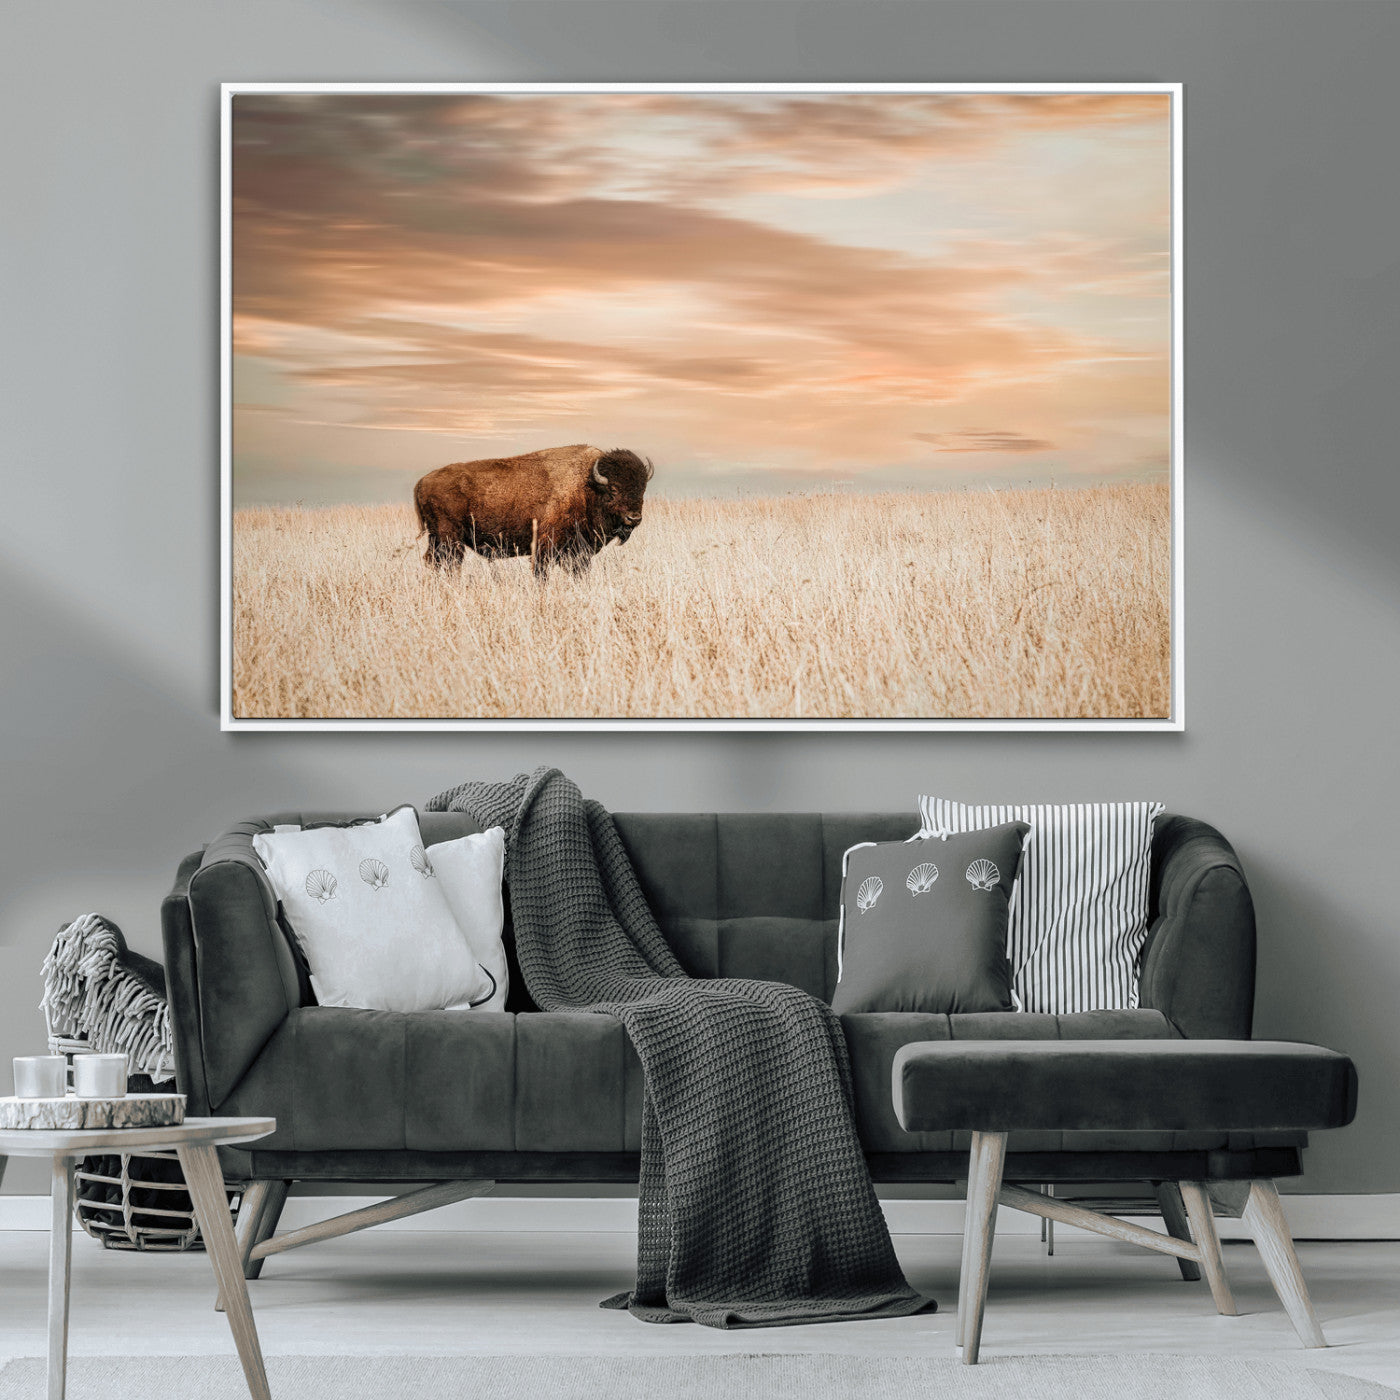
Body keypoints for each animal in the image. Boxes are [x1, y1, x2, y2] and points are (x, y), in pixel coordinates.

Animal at [414, 444, 654, 578]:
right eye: (614, 489)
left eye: (642, 488)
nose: (634, 518)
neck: (587, 487)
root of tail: (422, 481)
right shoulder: (545, 546)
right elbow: (541, 573)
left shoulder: (578, 552)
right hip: (449, 538)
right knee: (450, 563)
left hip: (437, 539)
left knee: (434, 561)